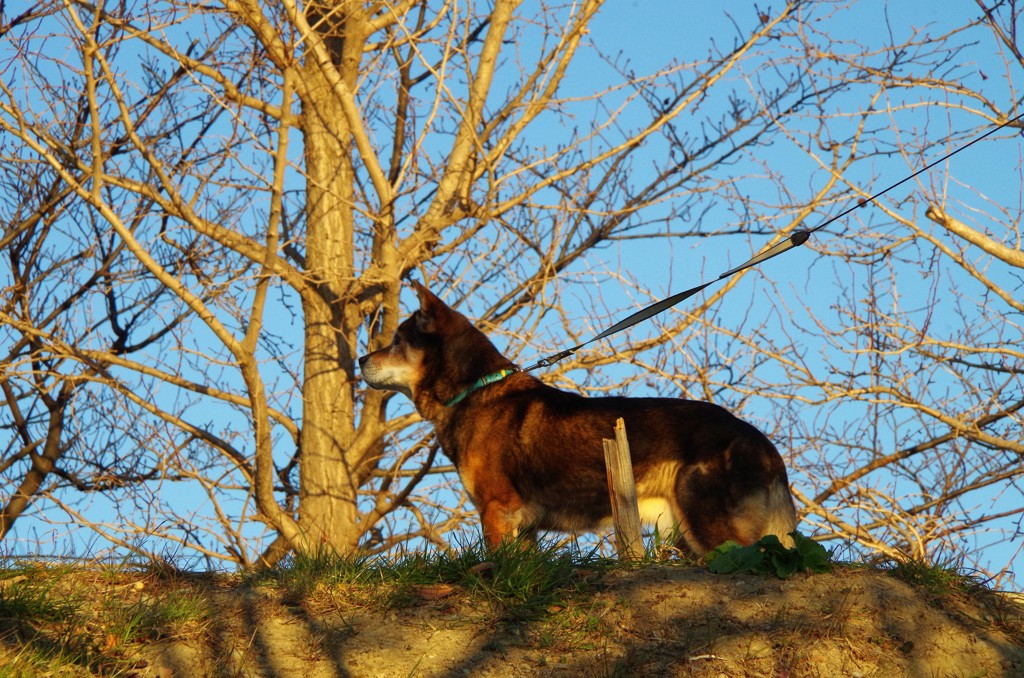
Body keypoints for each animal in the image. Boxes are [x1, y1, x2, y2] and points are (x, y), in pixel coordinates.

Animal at [360, 284, 798, 557]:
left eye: (397, 341)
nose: (362, 359)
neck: (474, 390)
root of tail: (765, 447)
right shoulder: (524, 527)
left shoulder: (496, 510)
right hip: (683, 532)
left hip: (709, 527)